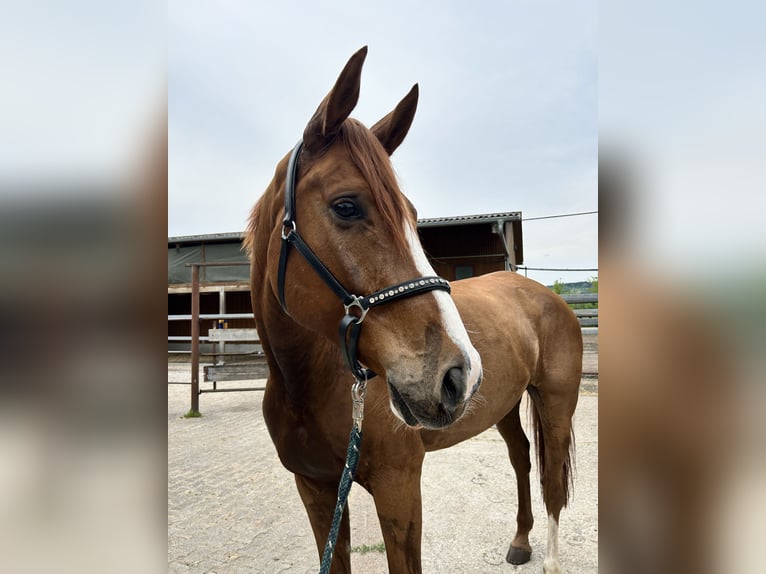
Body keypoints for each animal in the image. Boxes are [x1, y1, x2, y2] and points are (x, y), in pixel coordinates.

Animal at [245, 46, 582, 574]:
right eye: (346, 206)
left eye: (414, 215)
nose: (459, 373)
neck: (306, 385)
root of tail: (547, 297)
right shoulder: (317, 492)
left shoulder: (399, 488)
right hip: (507, 404)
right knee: (522, 458)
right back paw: (521, 541)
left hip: (556, 401)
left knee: (550, 476)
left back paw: (547, 559)